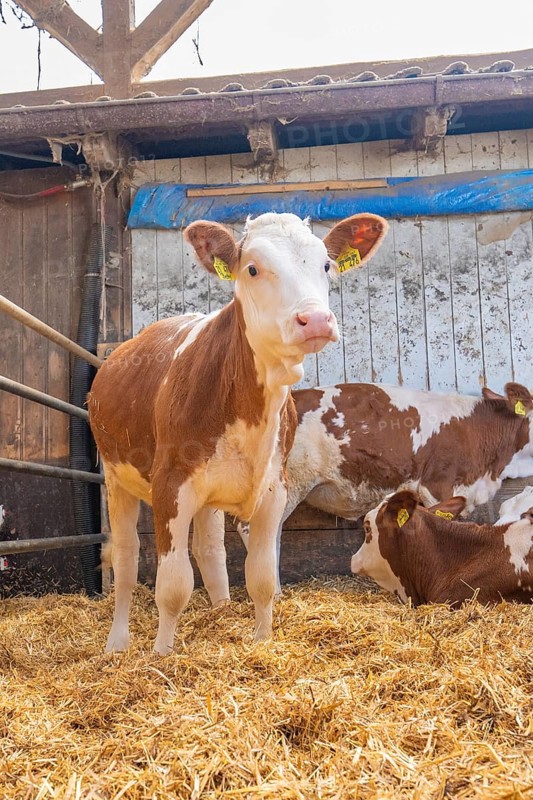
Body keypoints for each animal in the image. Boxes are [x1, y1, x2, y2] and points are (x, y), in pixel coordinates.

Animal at [88, 211, 388, 653]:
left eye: (326, 265)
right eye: (253, 268)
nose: (315, 319)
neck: (251, 411)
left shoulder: (274, 487)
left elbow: (262, 577)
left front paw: (261, 640)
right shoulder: (170, 484)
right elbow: (172, 585)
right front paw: (161, 654)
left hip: (209, 495)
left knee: (209, 550)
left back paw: (220, 611)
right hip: (116, 477)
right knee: (126, 558)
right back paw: (117, 643)